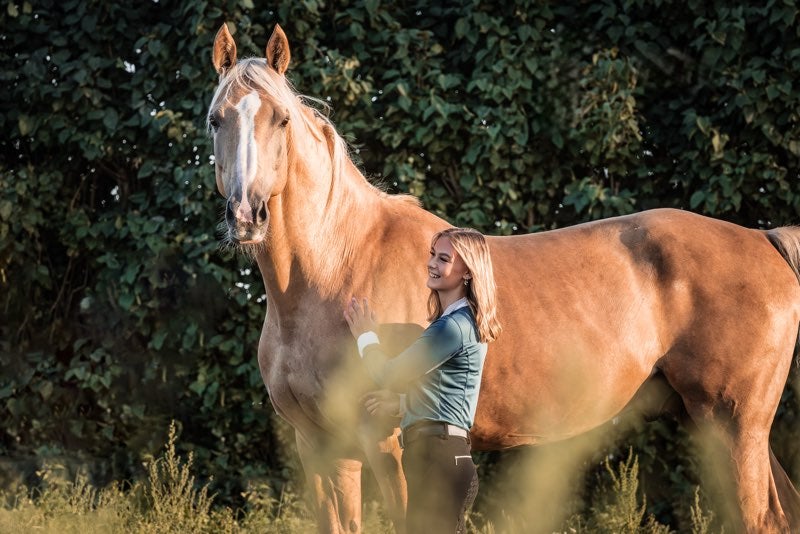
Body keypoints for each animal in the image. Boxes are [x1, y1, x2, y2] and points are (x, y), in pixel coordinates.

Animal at [208, 23, 800, 532]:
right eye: (217, 119)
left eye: (282, 120)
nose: (247, 216)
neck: (335, 269)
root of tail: (763, 238)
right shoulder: (322, 450)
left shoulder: (386, 446)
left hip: (732, 424)